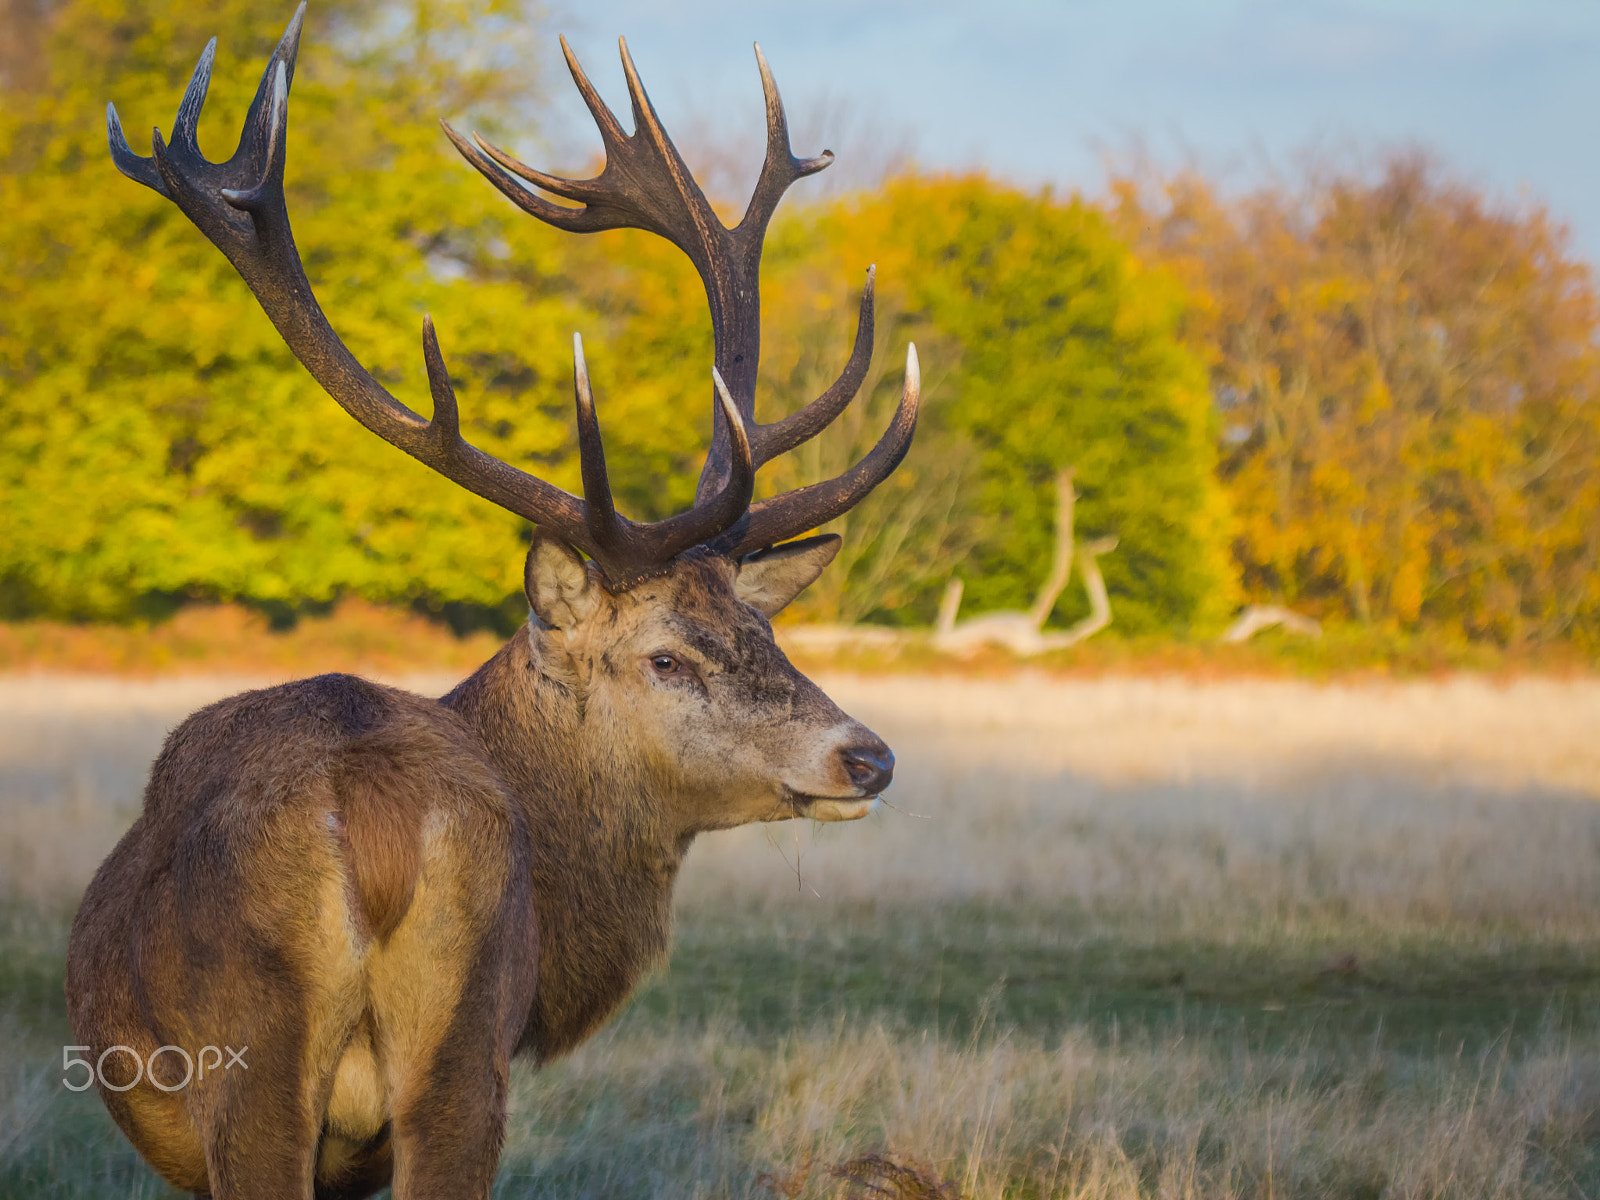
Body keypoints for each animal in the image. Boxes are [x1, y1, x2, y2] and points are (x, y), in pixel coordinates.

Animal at [66, 7, 919, 1198]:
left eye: (762, 629)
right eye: (667, 655)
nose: (868, 758)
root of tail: (371, 814)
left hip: (280, 1066)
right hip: (442, 1058)